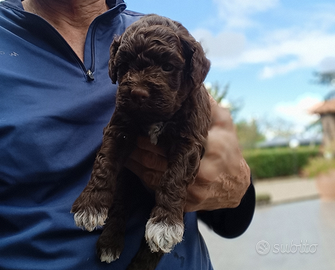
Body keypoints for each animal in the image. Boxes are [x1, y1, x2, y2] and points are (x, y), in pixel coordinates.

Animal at [71, 14, 210, 270]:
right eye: (124, 66)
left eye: (167, 67)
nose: (137, 93)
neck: (155, 118)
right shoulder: (119, 128)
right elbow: (104, 163)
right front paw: (90, 205)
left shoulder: (189, 141)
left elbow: (174, 177)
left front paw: (165, 223)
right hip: (127, 178)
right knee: (120, 205)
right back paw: (109, 243)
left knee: (154, 247)